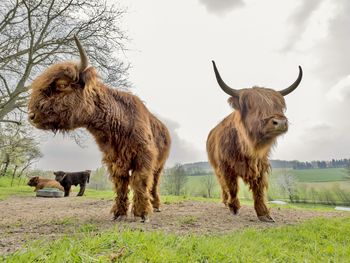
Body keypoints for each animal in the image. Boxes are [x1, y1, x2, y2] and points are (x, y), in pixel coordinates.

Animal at [27, 36, 171, 224]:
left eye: (62, 85)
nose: (31, 115)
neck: (118, 122)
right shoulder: (115, 160)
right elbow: (121, 184)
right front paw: (119, 213)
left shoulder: (143, 157)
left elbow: (140, 181)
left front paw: (143, 213)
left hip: (159, 165)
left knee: (154, 183)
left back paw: (157, 205)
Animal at [206, 62, 302, 223]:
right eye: (251, 106)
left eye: (279, 105)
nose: (280, 122)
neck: (246, 148)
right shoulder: (226, 166)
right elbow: (232, 187)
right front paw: (234, 207)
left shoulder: (260, 163)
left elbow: (258, 188)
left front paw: (264, 213)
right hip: (217, 167)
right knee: (223, 185)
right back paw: (225, 202)